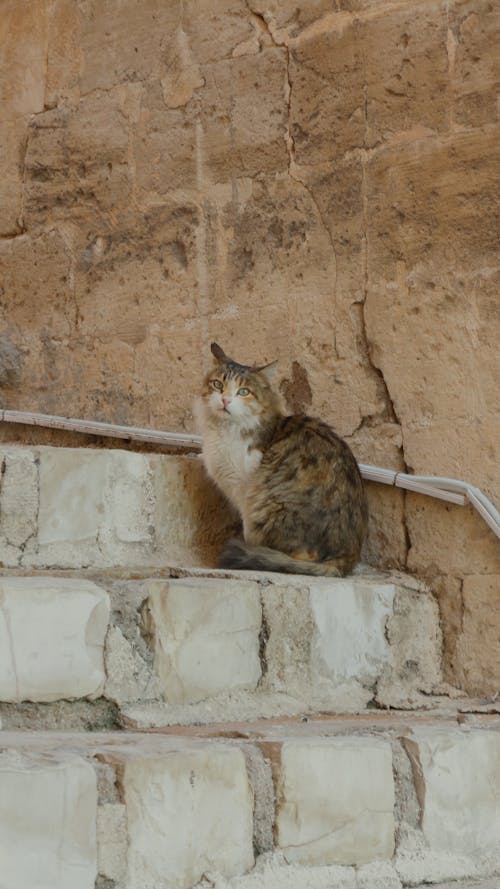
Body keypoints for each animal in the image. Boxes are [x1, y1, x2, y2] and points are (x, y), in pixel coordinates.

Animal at [195, 340, 368, 576]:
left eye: (243, 392)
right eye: (218, 385)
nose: (225, 400)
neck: (222, 430)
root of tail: (347, 556)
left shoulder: (244, 491)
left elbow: (246, 526)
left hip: (269, 503)